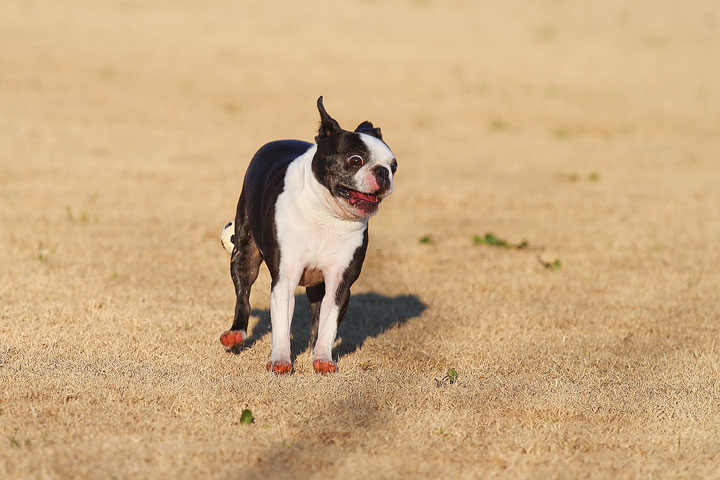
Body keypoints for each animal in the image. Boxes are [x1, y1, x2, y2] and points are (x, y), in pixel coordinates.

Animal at [219, 98, 400, 376]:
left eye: (394, 166)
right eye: (355, 159)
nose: (382, 172)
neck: (327, 215)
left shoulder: (340, 283)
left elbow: (328, 323)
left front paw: (323, 357)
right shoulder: (285, 278)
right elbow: (282, 322)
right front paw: (280, 360)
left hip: (317, 284)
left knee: (317, 313)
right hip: (244, 252)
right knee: (243, 294)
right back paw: (236, 333)